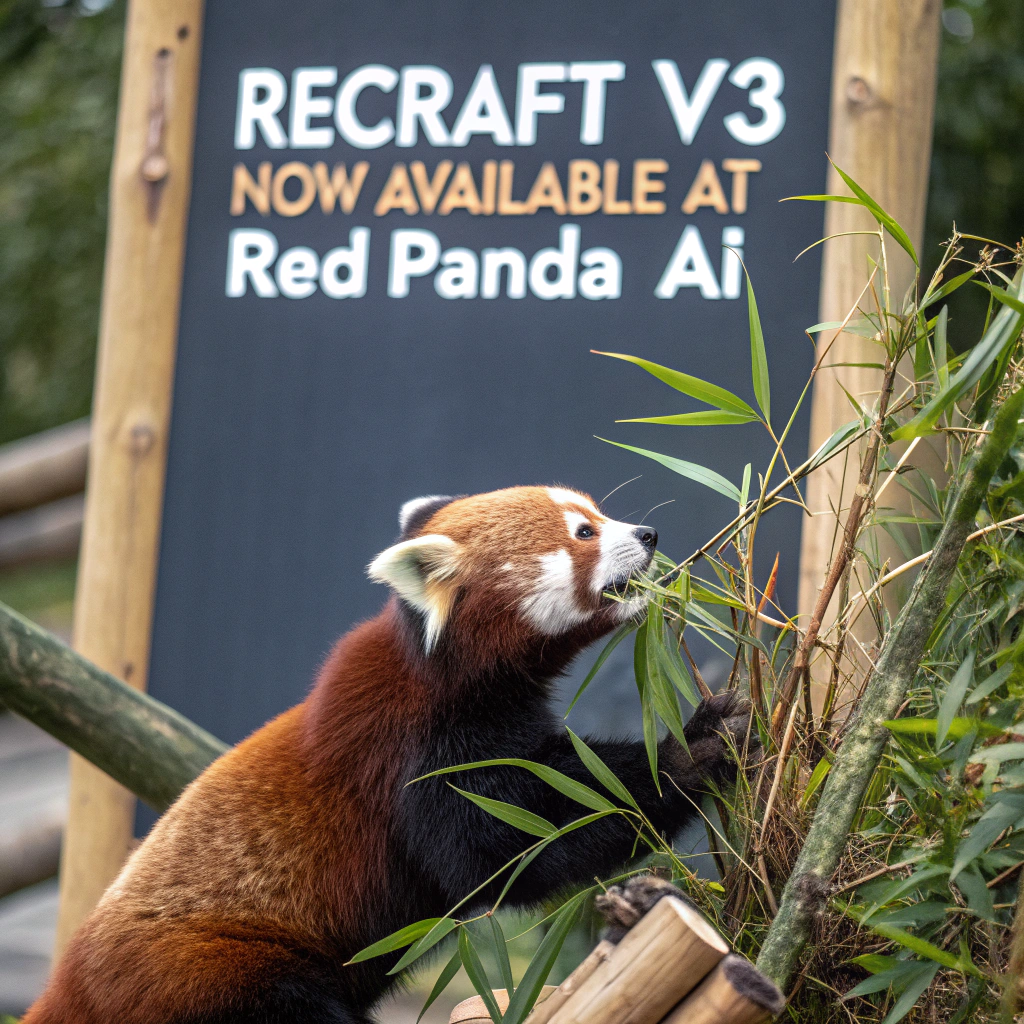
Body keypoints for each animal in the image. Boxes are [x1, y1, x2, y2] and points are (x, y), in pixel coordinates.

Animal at [25, 486, 750, 1024]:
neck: (441, 670)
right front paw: (689, 753)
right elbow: (508, 840)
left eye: (600, 514)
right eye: (584, 533)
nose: (649, 535)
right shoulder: (415, 750)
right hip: (221, 972)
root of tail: (68, 983)